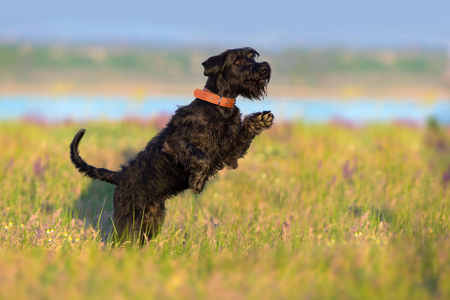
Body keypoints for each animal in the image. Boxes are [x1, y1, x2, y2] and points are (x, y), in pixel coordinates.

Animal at [70, 47, 274, 244]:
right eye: (237, 61)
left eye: (252, 57)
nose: (265, 68)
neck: (219, 107)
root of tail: (119, 176)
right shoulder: (175, 142)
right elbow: (201, 156)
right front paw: (198, 181)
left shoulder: (229, 153)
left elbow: (242, 136)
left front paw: (261, 120)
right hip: (129, 218)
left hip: (152, 219)